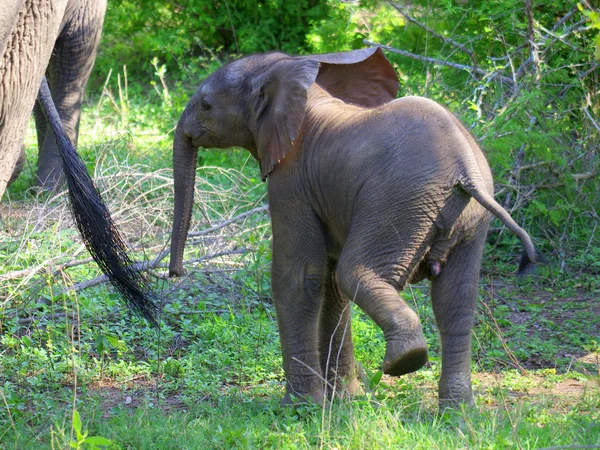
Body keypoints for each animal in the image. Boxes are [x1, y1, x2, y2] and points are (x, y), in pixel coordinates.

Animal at [169, 48, 540, 408]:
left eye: (206, 105)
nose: (177, 273)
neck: (292, 76)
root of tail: (463, 167)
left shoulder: (291, 181)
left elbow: (300, 277)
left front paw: (301, 408)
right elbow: (329, 283)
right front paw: (345, 400)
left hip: (398, 201)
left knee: (357, 272)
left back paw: (404, 363)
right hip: (469, 219)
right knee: (455, 301)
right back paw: (457, 414)